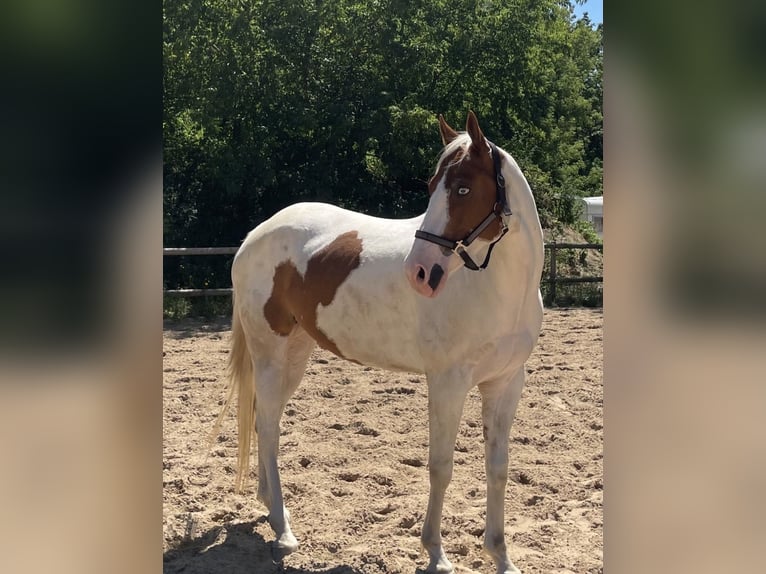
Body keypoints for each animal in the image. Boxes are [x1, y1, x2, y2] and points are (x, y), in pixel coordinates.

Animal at [221, 111, 544, 574]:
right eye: (432, 186)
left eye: (463, 188)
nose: (420, 271)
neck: (499, 289)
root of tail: (254, 236)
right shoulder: (447, 383)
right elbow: (441, 467)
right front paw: (436, 554)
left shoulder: (506, 383)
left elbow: (497, 468)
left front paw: (500, 556)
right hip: (270, 354)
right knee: (267, 428)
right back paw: (283, 529)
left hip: (294, 356)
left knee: (267, 422)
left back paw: (269, 507)